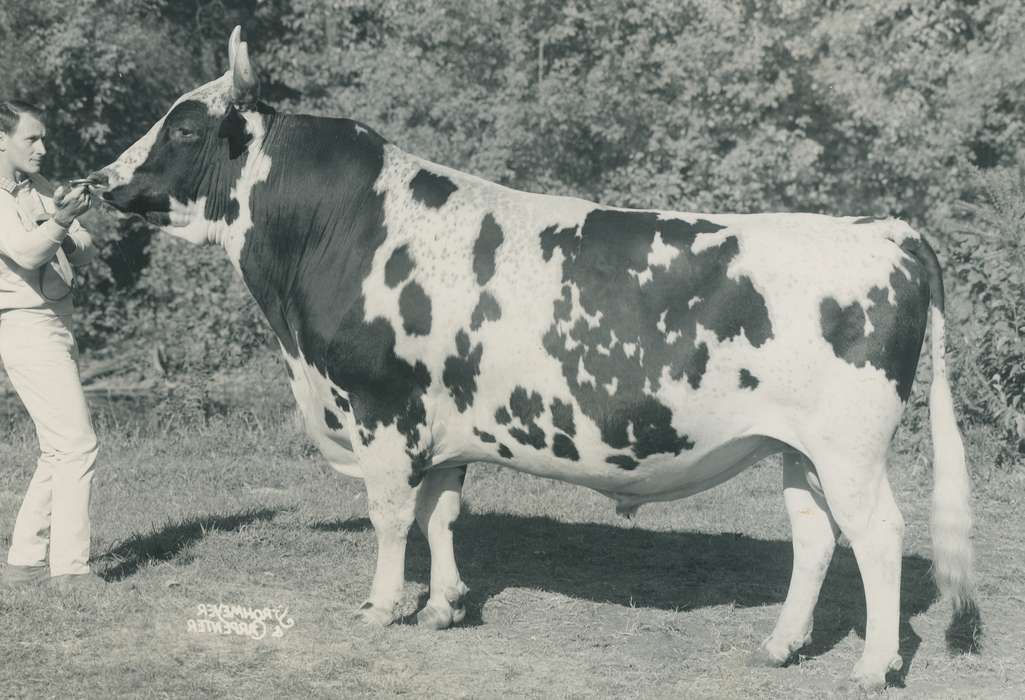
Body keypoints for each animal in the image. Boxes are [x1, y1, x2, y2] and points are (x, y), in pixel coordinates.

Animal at [92, 27, 974, 690]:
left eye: (184, 126)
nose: (99, 181)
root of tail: (885, 227)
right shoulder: (442, 421)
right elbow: (440, 510)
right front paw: (444, 605)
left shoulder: (380, 406)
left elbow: (390, 515)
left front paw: (382, 607)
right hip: (797, 447)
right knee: (815, 535)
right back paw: (781, 645)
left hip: (849, 445)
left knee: (877, 535)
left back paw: (870, 666)